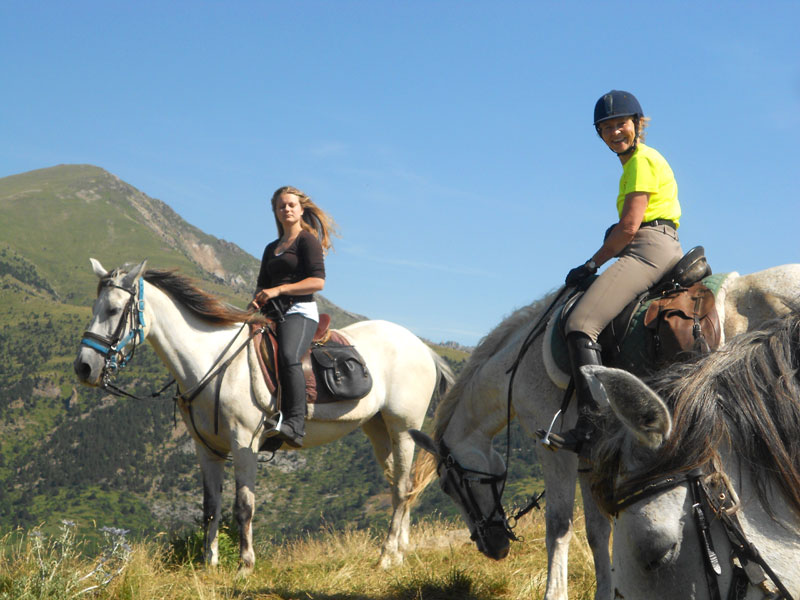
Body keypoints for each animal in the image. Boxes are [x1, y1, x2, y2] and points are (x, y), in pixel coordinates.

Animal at [73, 258, 453, 574]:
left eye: (113, 309)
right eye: (93, 307)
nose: (84, 367)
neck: (212, 361)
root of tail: (423, 347)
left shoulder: (244, 444)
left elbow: (244, 506)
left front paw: (245, 565)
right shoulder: (206, 450)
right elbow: (210, 506)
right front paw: (208, 564)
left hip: (403, 428)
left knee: (402, 486)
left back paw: (387, 556)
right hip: (377, 428)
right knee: (398, 485)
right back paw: (401, 550)